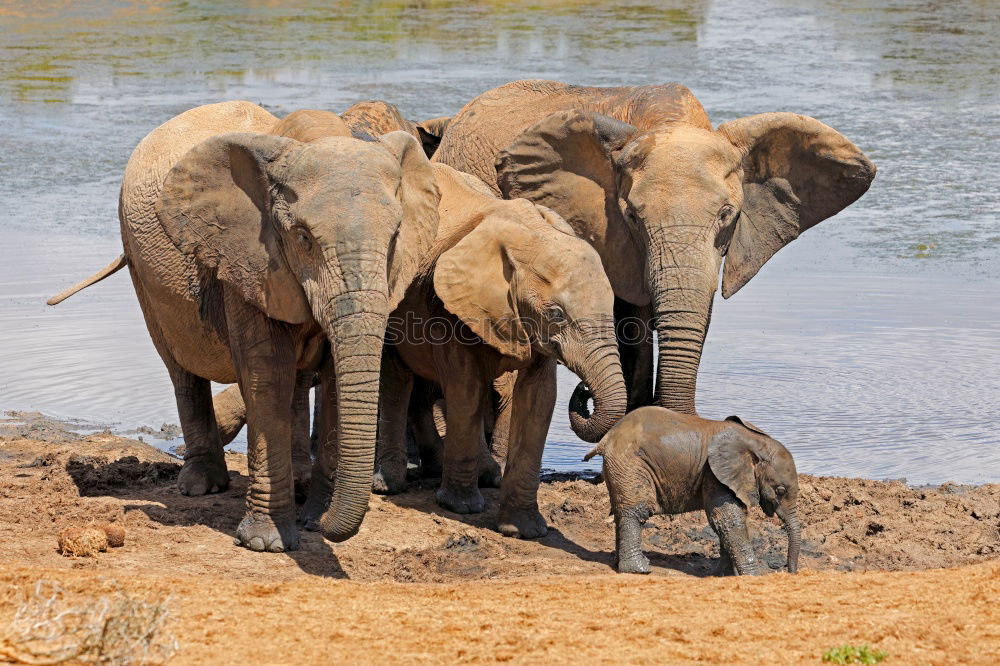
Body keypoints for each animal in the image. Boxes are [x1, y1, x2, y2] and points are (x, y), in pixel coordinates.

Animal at [57, 102, 442, 548]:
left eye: (396, 235)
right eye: (303, 237)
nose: (326, 526)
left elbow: (331, 378)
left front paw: (313, 518)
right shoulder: (247, 261)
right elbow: (266, 376)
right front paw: (268, 542)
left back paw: (300, 482)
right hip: (140, 267)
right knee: (180, 368)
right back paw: (202, 485)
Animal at [584, 402, 800, 572]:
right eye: (780, 491)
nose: (790, 572)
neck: (755, 442)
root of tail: (607, 438)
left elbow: (729, 521)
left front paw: (724, 576)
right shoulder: (714, 474)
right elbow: (727, 519)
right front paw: (751, 576)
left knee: (620, 510)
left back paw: (619, 564)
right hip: (631, 463)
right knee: (636, 511)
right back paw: (639, 569)